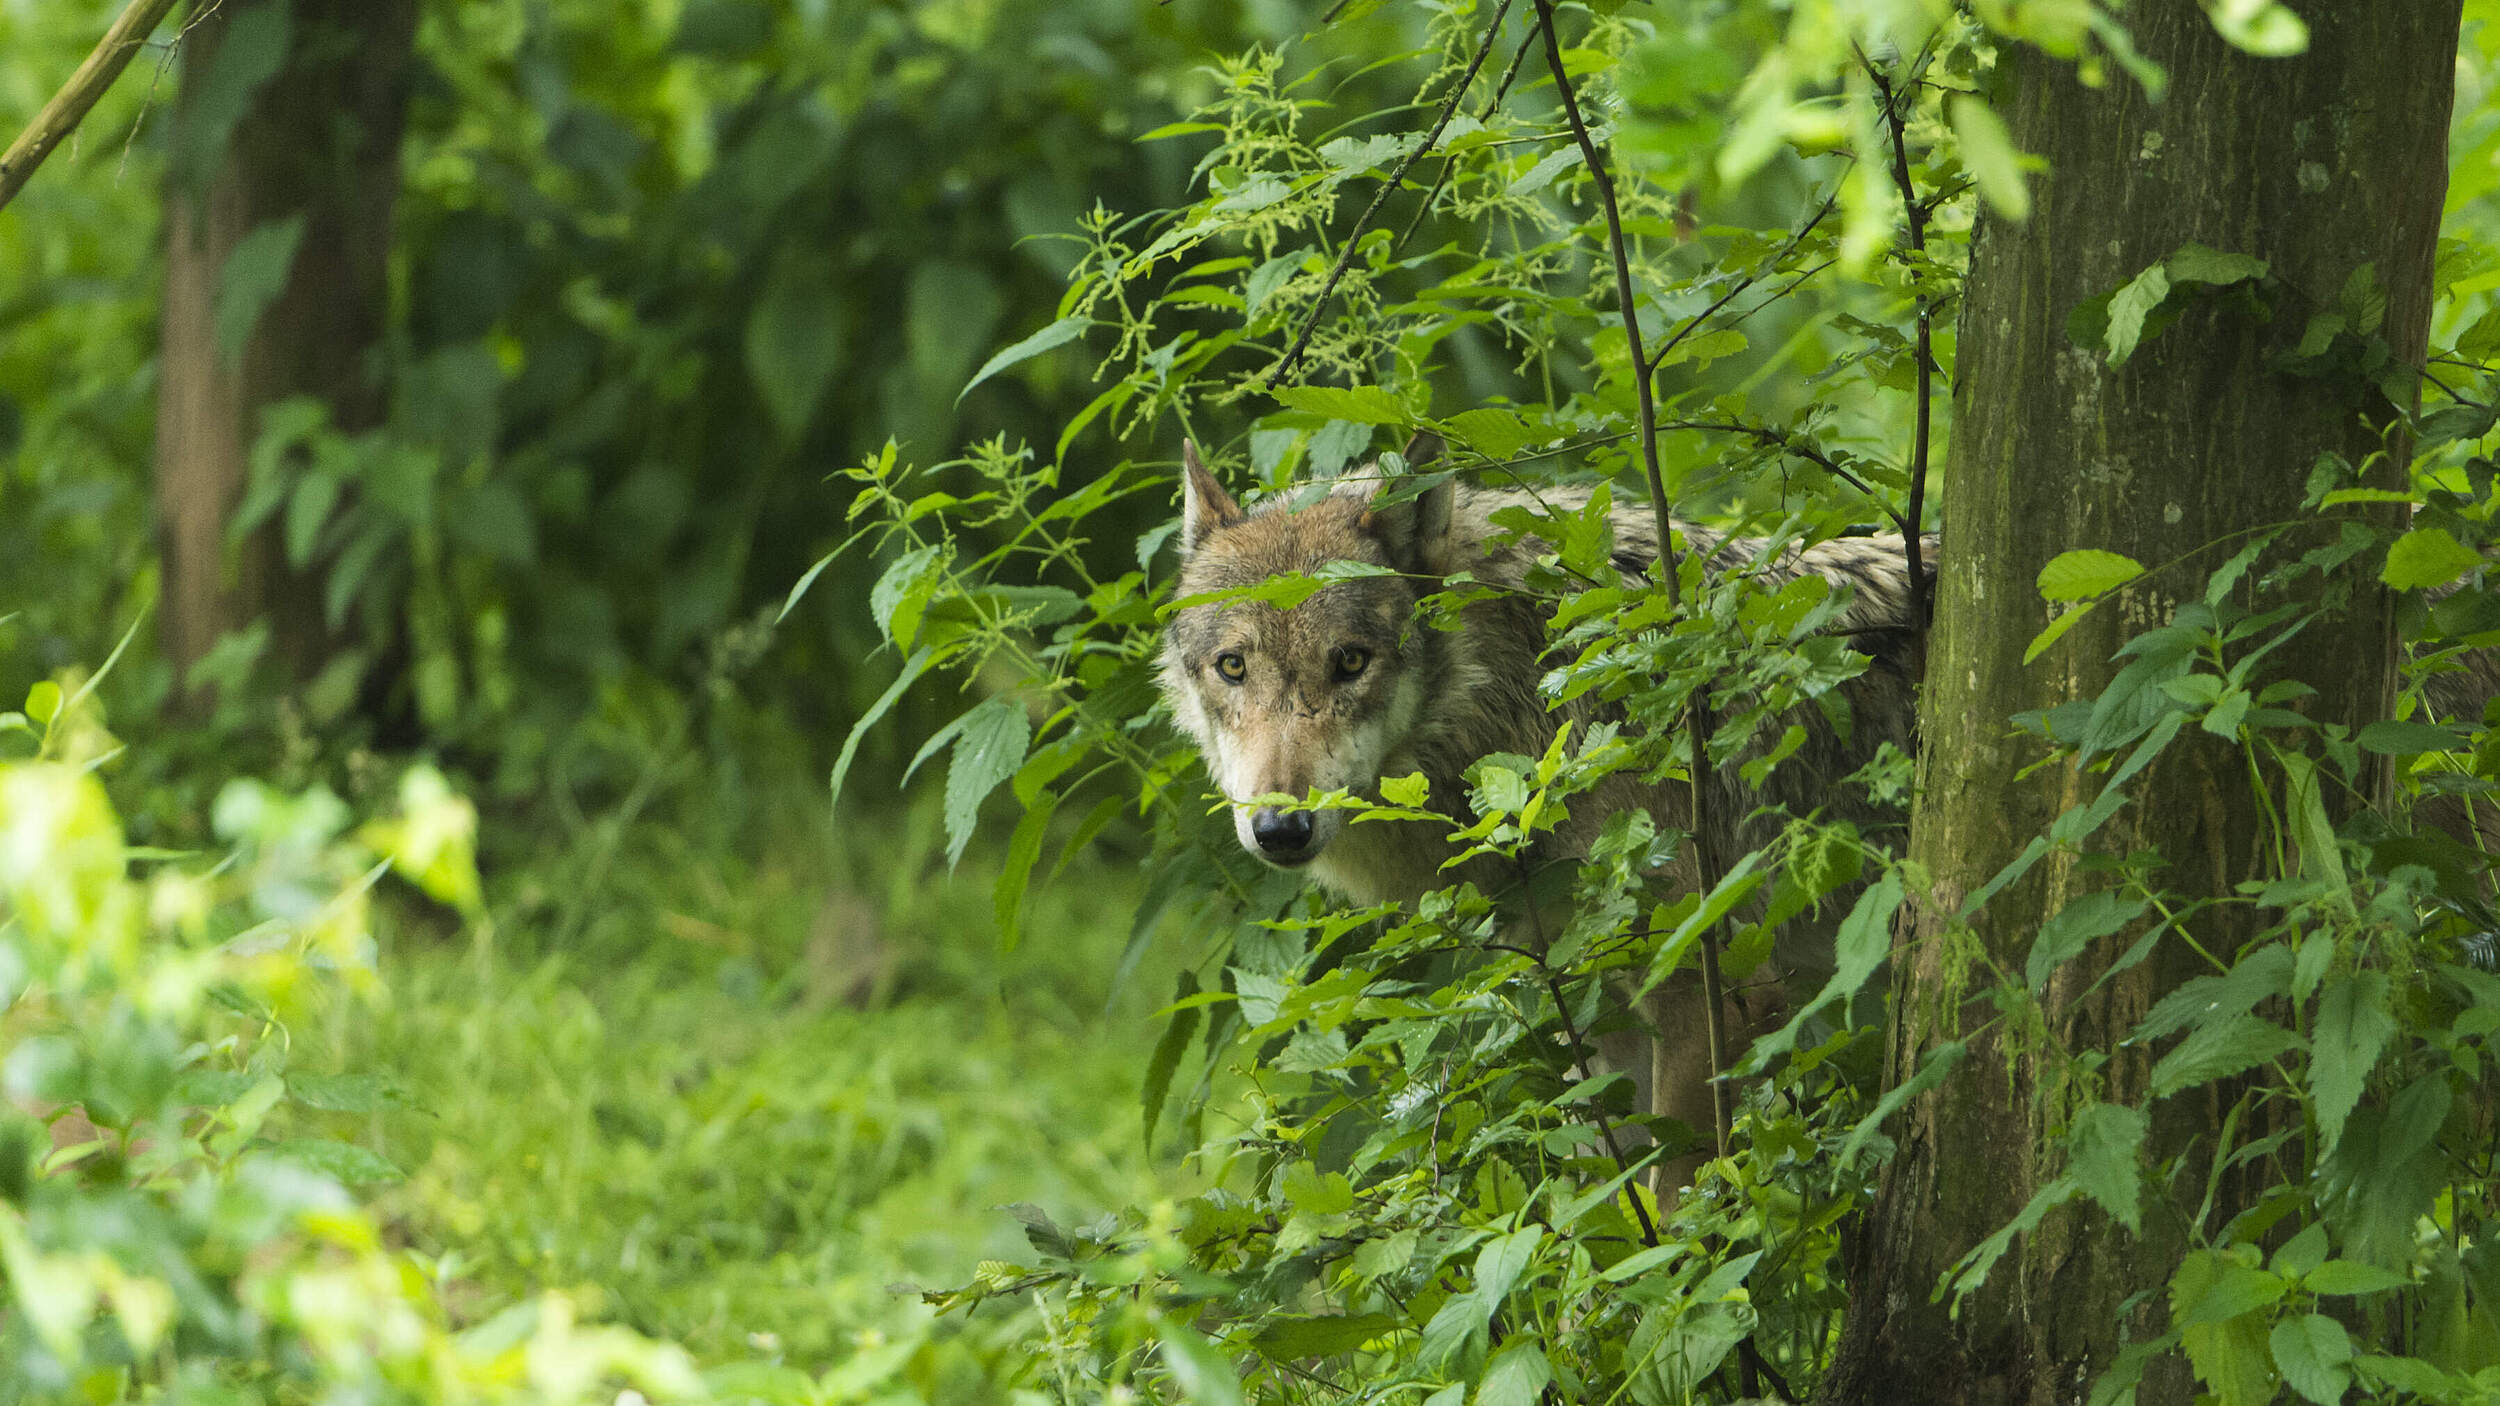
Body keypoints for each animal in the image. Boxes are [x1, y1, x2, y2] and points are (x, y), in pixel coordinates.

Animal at [1158, 435, 1932, 1188]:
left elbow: (1681, 1203)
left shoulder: (1718, 993)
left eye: (1349, 661)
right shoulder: (1593, 1012)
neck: (1529, 696)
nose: (1280, 829)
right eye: (1233, 667)